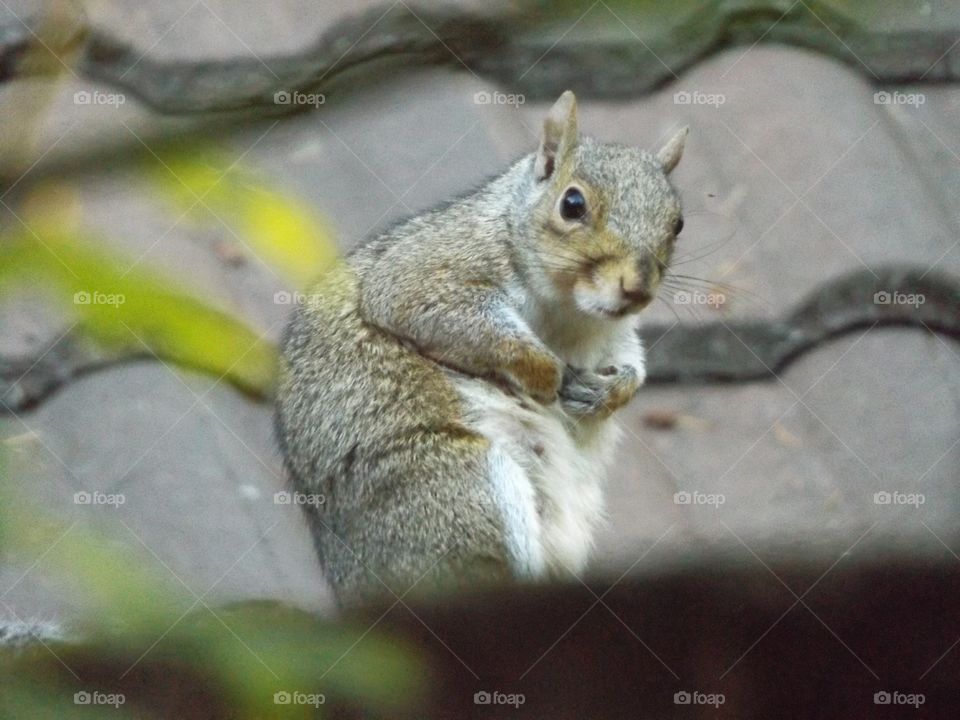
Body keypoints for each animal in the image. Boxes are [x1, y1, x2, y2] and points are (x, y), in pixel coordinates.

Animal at [275, 91, 687, 606]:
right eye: (572, 204)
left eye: (678, 223)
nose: (636, 288)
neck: (571, 313)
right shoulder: (427, 271)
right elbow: (437, 313)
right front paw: (547, 372)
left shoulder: (614, 336)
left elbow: (633, 366)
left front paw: (607, 393)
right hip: (458, 492)